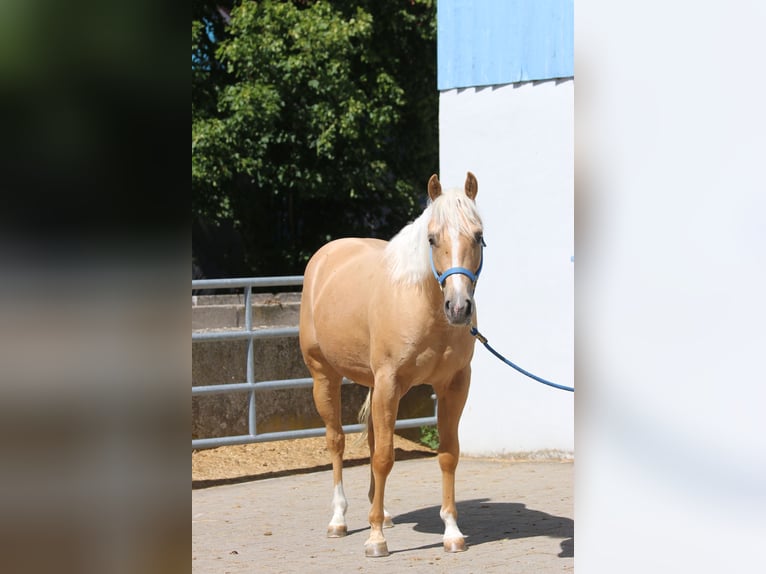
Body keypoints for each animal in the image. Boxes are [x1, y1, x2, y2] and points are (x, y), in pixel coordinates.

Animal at [299, 172, 484, 557]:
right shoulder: (389, 382)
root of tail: (325, 256)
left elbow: (447, 454)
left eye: (478, 236)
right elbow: (384, 457)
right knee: (336, 441)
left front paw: (452, 533)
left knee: (370, 441)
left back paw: (380, 513)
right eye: (432, 238)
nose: (459, 307)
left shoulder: (454, 386)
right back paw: (339, 520)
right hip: (324, 377)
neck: (421, 303)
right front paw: (375, 540)